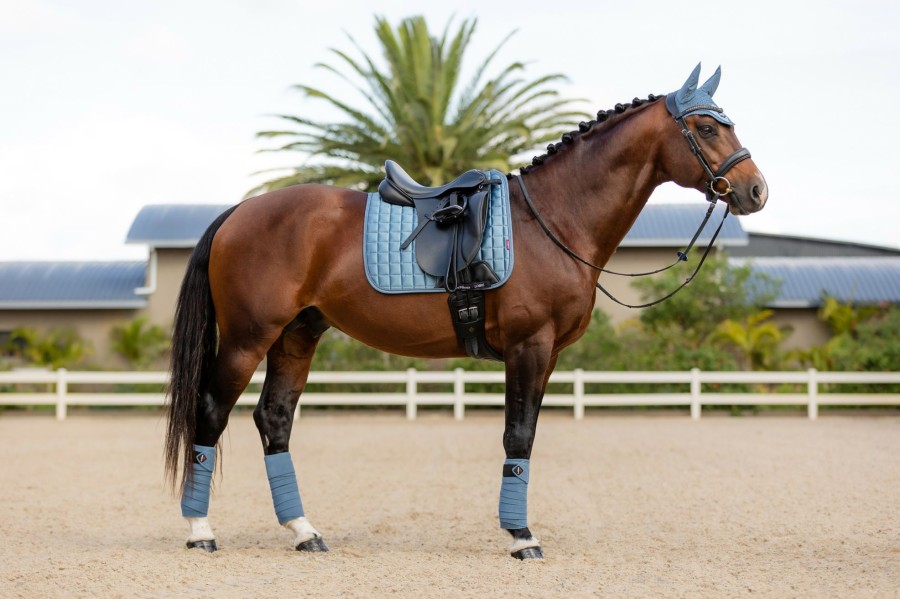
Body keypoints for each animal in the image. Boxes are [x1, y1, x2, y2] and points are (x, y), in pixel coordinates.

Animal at [163, 63, 768, 560]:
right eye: (708, 129)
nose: (755, 190)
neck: (553, 220)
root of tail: (240, 211)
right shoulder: (529, 347)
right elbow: (517, 436)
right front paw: (522, 537)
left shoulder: (546, 356)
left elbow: (525, 434)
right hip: (247, 338)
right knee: (212, 412)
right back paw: (201, 532)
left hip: (296, 336)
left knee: (275, 419)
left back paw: (304, 532)